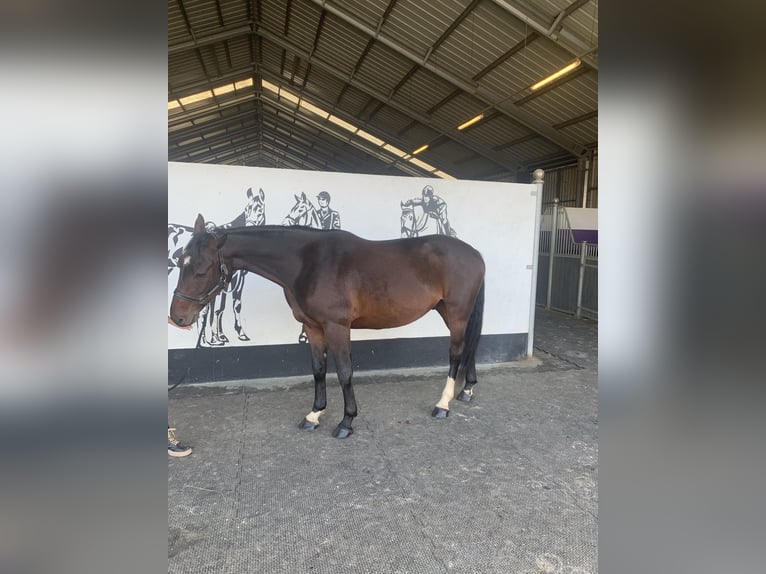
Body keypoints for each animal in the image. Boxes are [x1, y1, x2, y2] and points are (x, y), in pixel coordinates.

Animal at [169, 214, 486, 439]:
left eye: (201, 271)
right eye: (180, 262)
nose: (177, 318)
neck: (307, 263)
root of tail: (474, 253)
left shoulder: (337, 327)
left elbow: (344, 372)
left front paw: (346, 422)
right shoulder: (313, 328)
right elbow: (318, 370)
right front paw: (314, 415)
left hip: (457, 313)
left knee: (456, 353)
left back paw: (442, 405)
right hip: (450, 312)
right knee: (470, 346)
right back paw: (467, 391)